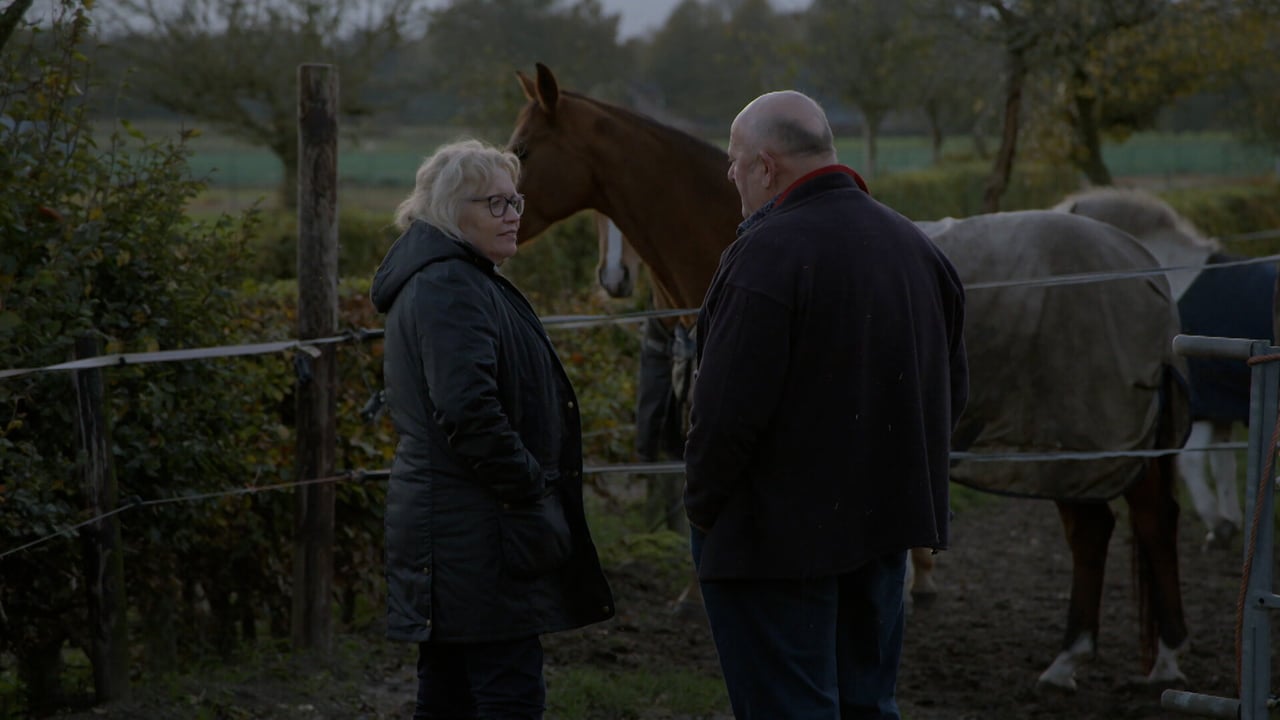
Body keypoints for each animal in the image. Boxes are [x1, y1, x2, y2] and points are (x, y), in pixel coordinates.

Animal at [509, 63, 1187, 691]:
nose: (611, 278)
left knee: (1127, 528)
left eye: (521, 151)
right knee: (1116, 529)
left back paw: (1130, 660)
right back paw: (1101, 656)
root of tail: (1141, 266)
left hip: (1084, 442)